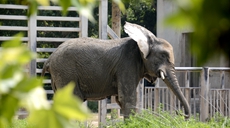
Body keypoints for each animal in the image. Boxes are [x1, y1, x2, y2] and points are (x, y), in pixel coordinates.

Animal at [41, 21, 190, 118]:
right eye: (163, 56)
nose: (184, 116)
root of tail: (50, 58)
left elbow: (121, 100)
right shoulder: (127, 63)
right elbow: (128, 99)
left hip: (60, 74)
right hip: (66, 72)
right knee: (72, 101)